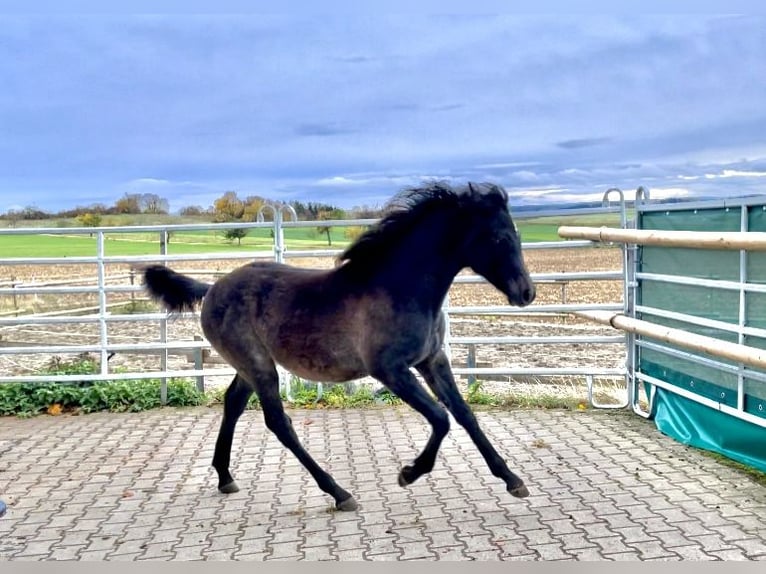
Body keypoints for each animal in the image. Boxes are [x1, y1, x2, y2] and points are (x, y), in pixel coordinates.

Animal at [142, 181, 536, 512]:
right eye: (499, 237)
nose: (527, 293)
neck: (402, 289)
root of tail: (211, 290)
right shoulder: (391, 370)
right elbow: (440, 418)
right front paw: (408, 473)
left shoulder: (432, 360)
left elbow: (465, 414)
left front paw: (512, 480)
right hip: (259, 366)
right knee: (278, 422)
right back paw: (339, 492)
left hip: (249, 366)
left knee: (233, 404)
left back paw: (225, 477)